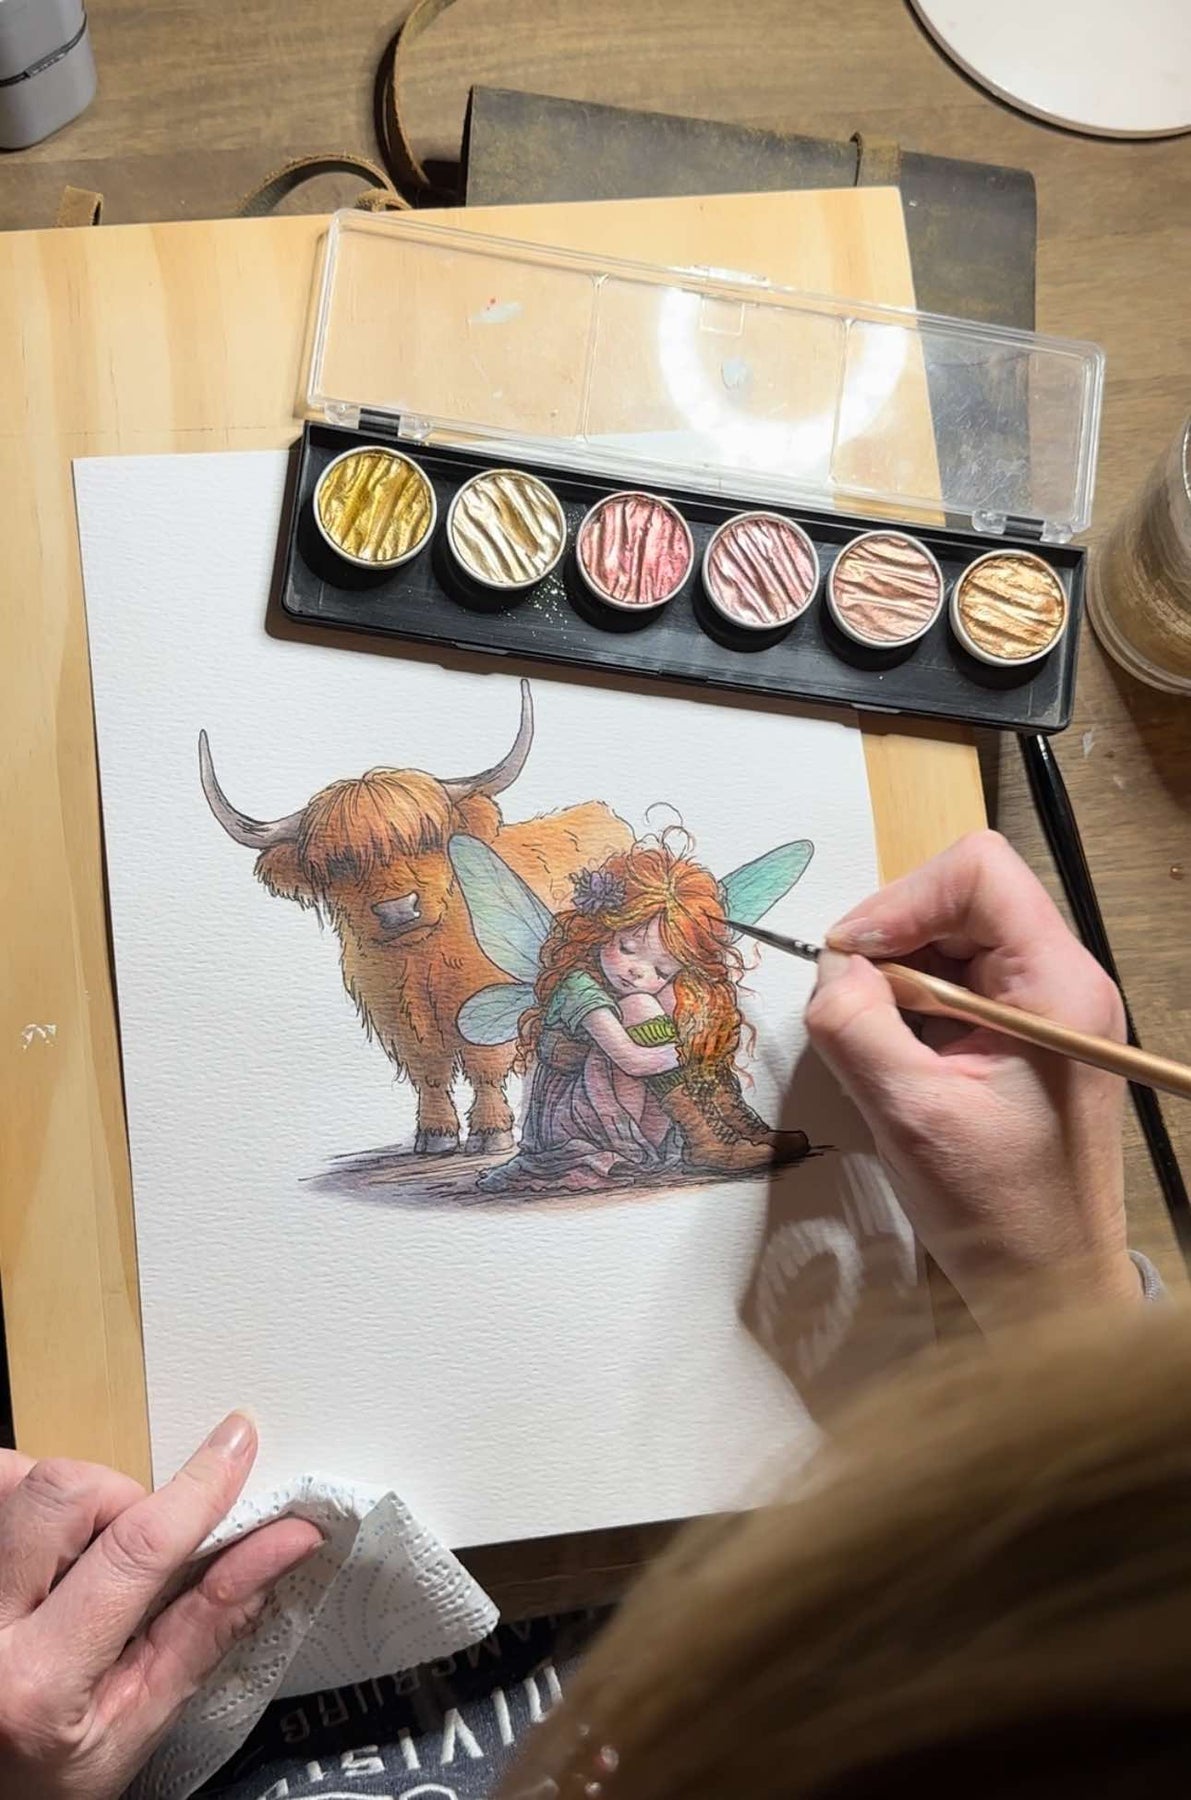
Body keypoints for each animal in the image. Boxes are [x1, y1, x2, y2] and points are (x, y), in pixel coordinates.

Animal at [199, 680, 632, 1156]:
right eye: (339, 864)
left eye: (427, 840)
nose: (398, 910)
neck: (422, 959)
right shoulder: (398, 1017)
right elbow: (429, 1071)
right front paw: (435, 1134)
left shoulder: (485, 1004)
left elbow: (484, 1064)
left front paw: (492, 1133)